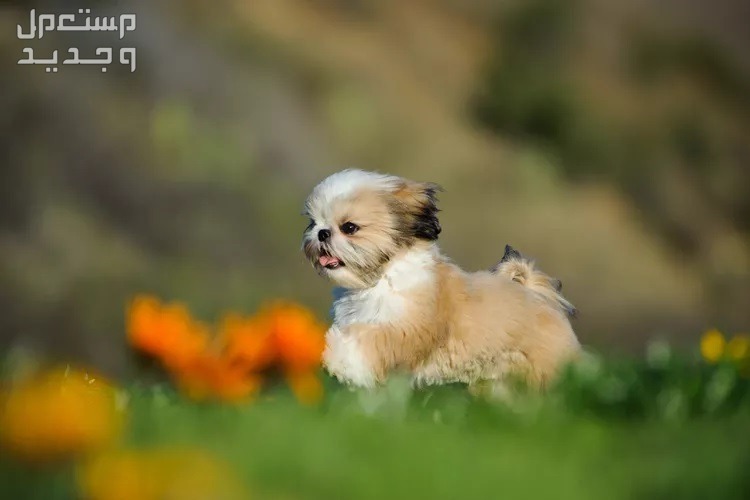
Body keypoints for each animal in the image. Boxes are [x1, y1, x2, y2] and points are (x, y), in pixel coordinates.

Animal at [302, 170, 580, 392]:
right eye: (313, 223)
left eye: (349, 227)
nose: (322, 233)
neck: (381, 277)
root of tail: (541, 299)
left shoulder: (405, 328)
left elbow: (369, 343)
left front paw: (337, 353)